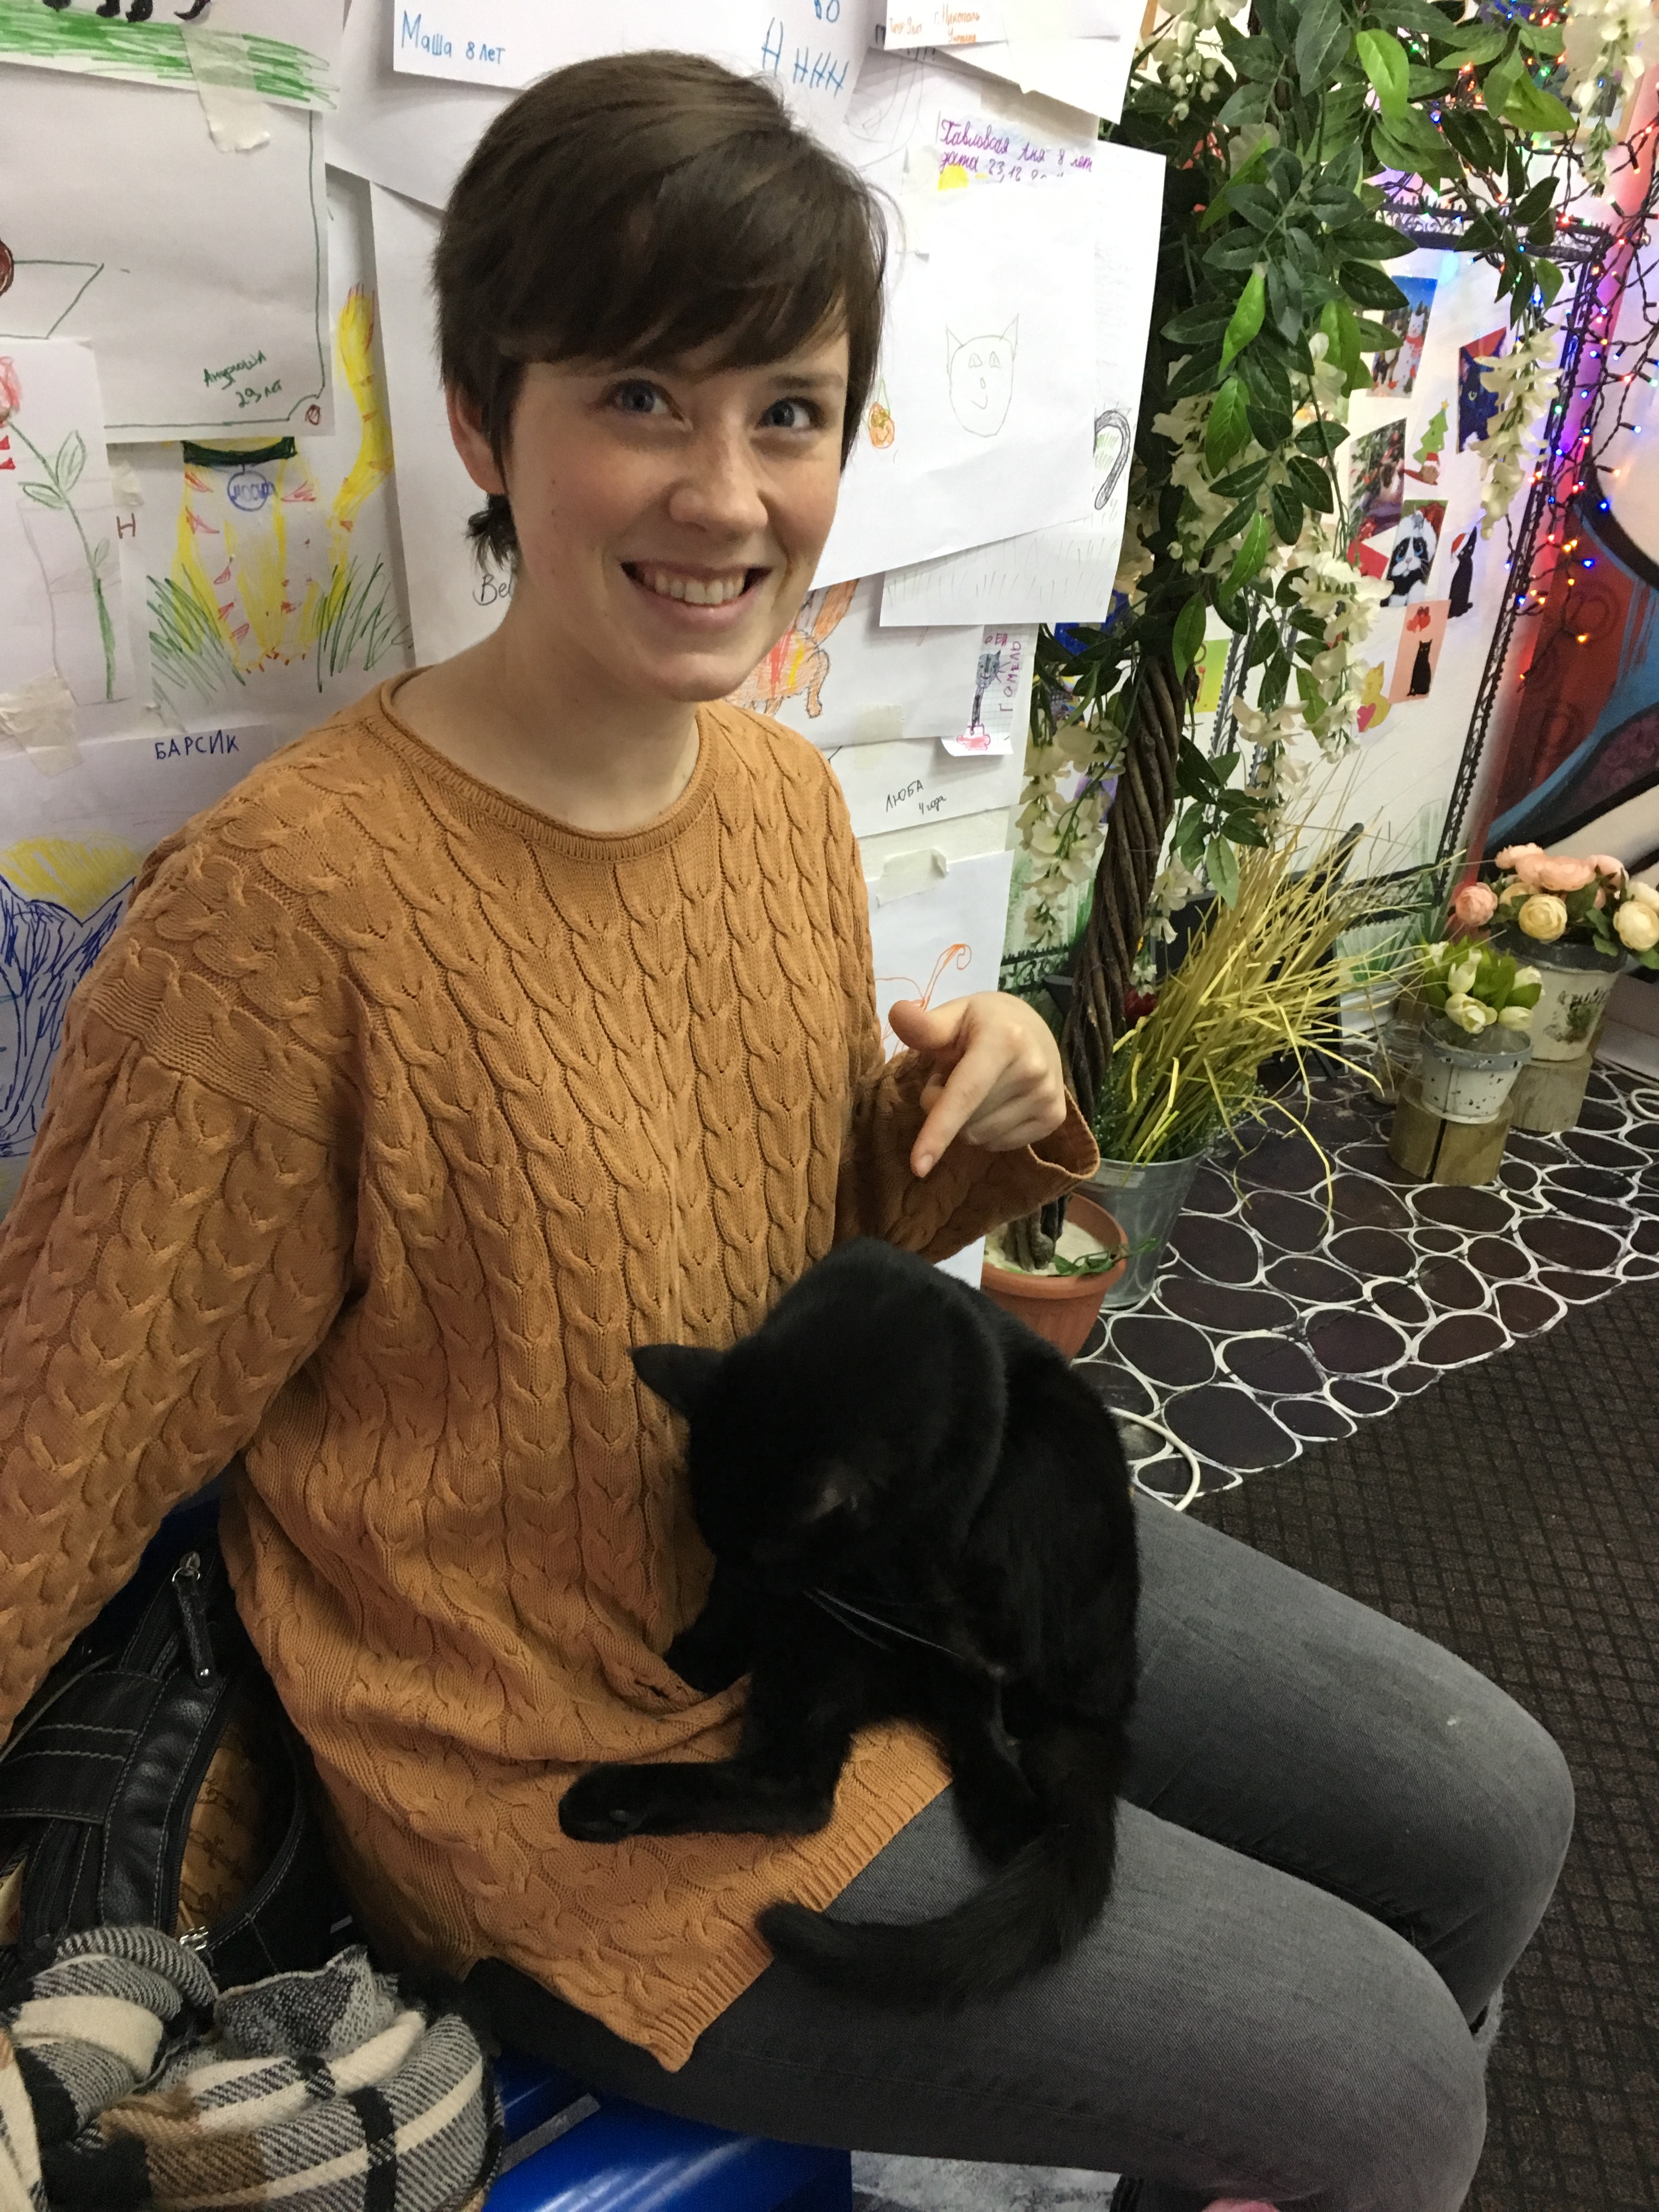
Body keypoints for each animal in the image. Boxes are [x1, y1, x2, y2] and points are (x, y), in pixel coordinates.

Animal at [558, 1236, 1140, 2010]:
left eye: (766, 1553)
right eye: (719, 1544)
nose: (769, 1590)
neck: (877, 1329)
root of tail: (1108, 1700)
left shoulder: (926, 1540)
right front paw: (700, 1658)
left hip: (1037, 1466)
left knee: (822, 1778)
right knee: (807, 1783)